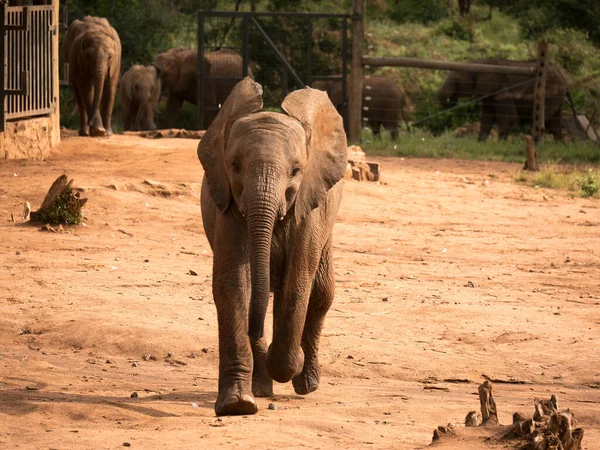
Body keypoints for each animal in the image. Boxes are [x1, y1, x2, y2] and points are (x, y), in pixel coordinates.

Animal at [198, 78, 346, 418]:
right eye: (235, 166)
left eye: (296, 171)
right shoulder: (228, 204)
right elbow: (234, 283)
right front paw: (237, 404)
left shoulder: (308, 207)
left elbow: (297, 283)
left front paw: (290, 364)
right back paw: (262, 387)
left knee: (322, 293)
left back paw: (305, 383)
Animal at [436, 59, 568, 141]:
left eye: (457, 81)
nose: (452, 101)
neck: (482, 64)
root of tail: (562, 75)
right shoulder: (489, 93)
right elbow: (487, 117)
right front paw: (480, 143)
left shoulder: (501, 92)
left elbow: (509, 118)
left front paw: (500, 144)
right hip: (556, 97)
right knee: (555, 123)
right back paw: (560, 145)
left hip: (549, 94)